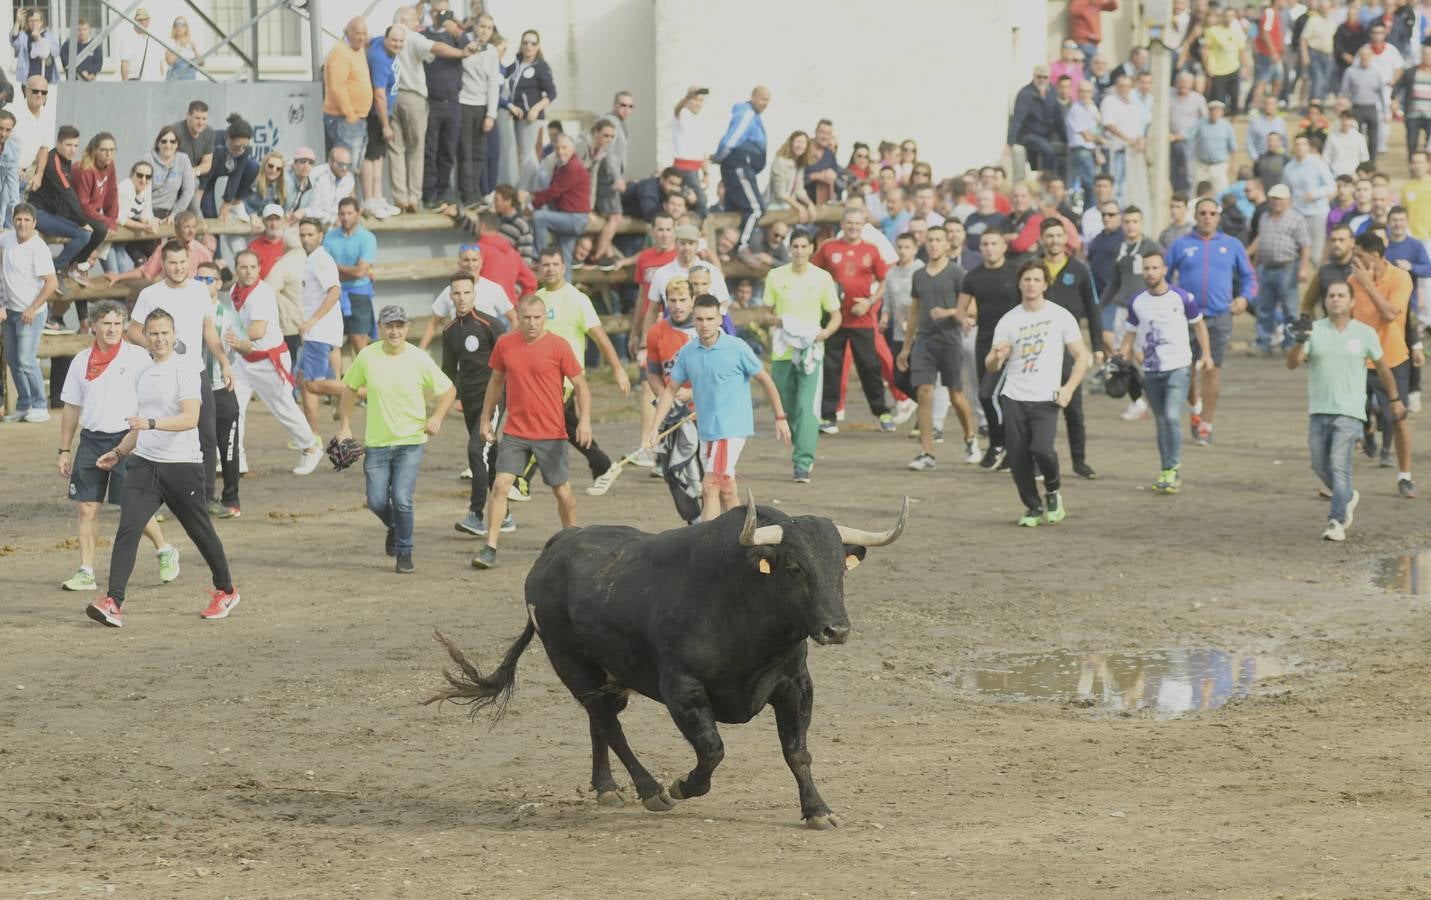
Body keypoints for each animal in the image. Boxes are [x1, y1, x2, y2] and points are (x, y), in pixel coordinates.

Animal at [429, 492, 910, 829]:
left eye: (840, 568)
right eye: (794, 567)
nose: (836, 629)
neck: (740, 600)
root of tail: (560, 542)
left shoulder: (795, 685)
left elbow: (798, 752)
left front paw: (818, 810)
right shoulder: (682, 688)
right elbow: (712, 749)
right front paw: (683, 786)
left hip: (608, 674)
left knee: (599, 722)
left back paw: (606, 788)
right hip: (572, 664)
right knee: (608, 724)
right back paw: (651, 791)